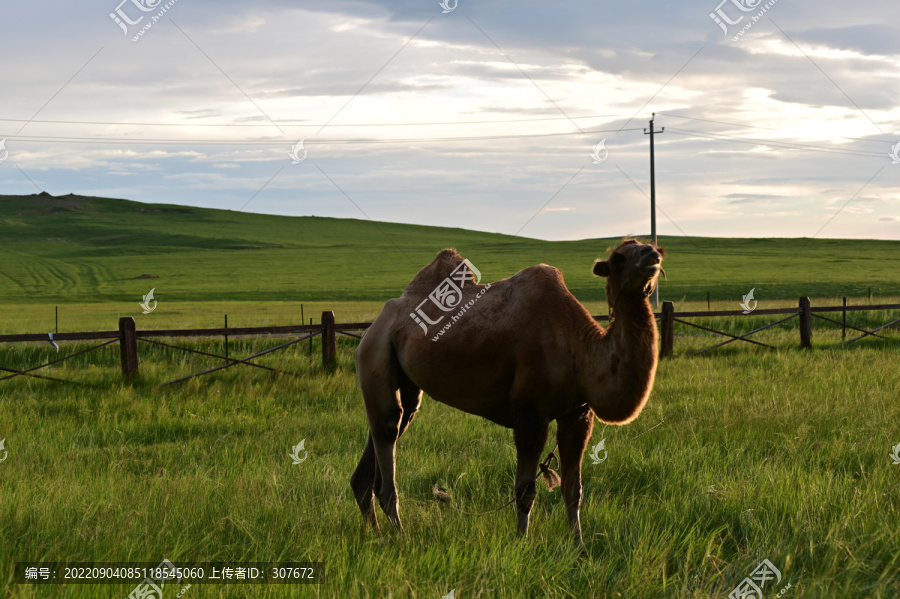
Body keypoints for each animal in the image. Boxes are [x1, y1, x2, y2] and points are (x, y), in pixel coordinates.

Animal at [350, 239, 660, 544]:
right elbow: (525, 491)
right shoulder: (529, 412)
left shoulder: (578, 414)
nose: (652, 255)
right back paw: (399, 535)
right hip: (375, 350)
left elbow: (574, 490)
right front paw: (522, 543)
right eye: (619, 256)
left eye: (649, 245)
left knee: (388, 429)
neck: (582, 350)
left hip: (404, 381)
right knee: (388, 428)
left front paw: (579, 547)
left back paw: (375, 533)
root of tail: (377, 323)